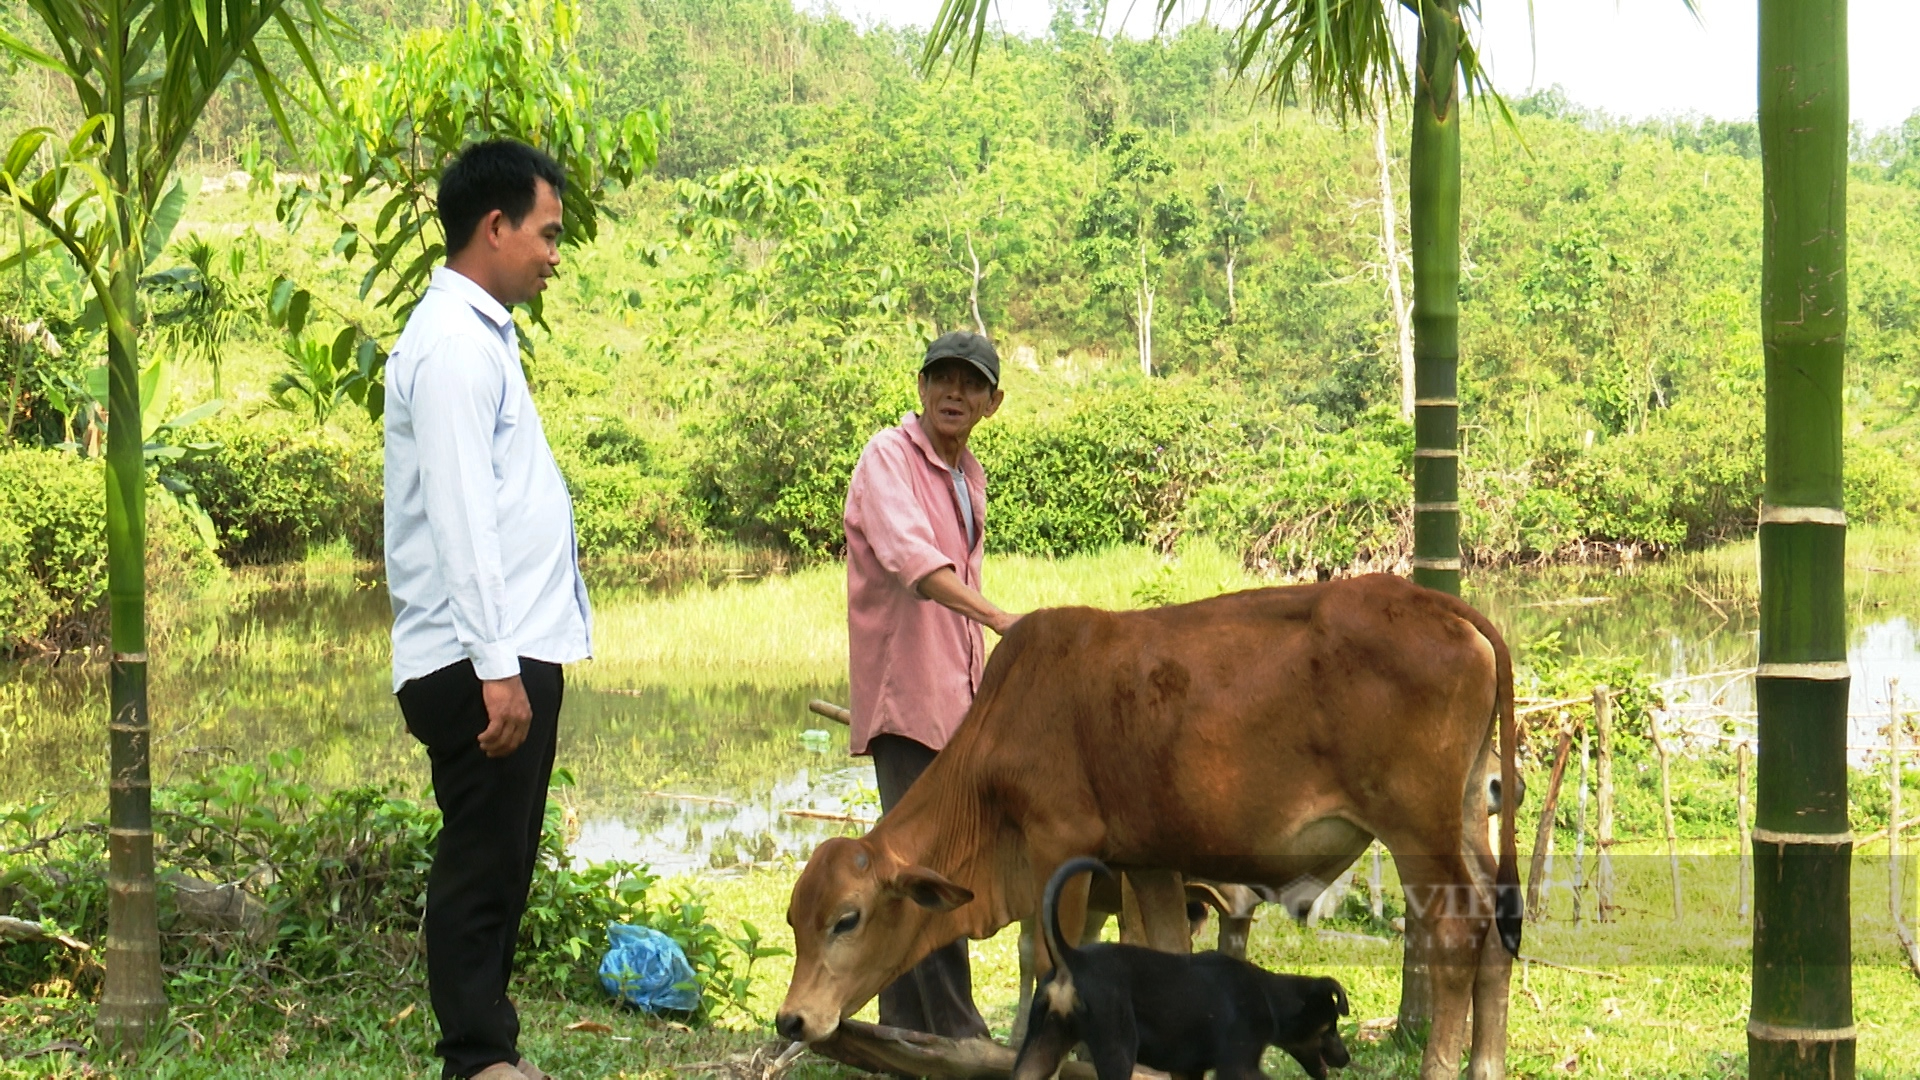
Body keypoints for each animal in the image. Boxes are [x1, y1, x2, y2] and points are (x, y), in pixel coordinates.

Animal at [775, 576, 1512, 1076]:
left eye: (846, 919)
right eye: (793, 921)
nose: (792, 1018)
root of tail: (1437, 603)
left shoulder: (1060, 847)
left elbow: (1050, 962)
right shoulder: (1151, 861)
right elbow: (1166, 954)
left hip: (1416, 827)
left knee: (1455, 933)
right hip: (1467, 818)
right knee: (1496, 930)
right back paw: (1487, 1064)